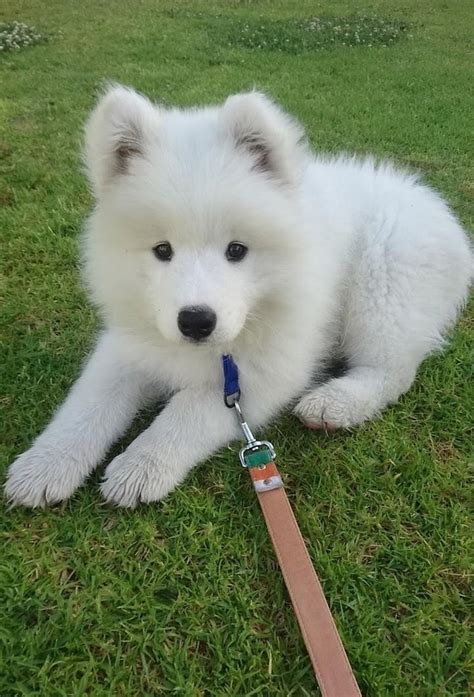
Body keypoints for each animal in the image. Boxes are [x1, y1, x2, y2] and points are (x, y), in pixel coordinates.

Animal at [5, 87, 472, 508]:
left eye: (236, 250)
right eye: (162, 250)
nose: (195, 321)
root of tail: (433, 205)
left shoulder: (265, 371)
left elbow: (187, 411)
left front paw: (140, 467)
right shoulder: (130, 345)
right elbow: (88, 404)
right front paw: (44, 466)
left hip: (384, 288)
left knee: (392, 369)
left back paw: (334, 404)